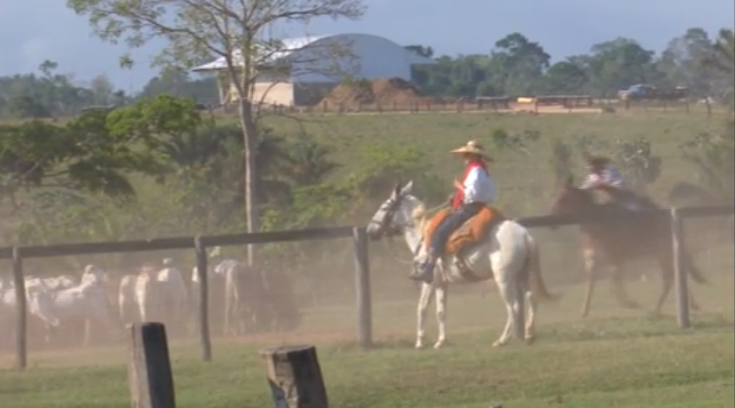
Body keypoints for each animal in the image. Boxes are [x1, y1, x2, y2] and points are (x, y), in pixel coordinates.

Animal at [366, 183, 560, 350]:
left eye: (384, 207)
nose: (369, 231)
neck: (423, 235)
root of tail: (525, 236)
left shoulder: (428, 282)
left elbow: (422, 308)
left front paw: (420, 342)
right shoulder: (441, 284)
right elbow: (441, 312)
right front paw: (441, 342)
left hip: (504, 279)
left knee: (513, 307)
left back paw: (502, 340)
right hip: (523, 275)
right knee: (531, 299)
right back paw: (528, 336)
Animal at [552, 176, 708, 318]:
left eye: (563, 198)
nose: (553, 218)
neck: (598, 225)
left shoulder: (617, 260)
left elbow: (613, 284)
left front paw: (631, 303)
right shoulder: (594, 260)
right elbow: (593, 284)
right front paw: (584, 311)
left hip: (663, 253)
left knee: (671, 276)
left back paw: (658, 310)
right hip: (662, 255)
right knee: (674, 274)